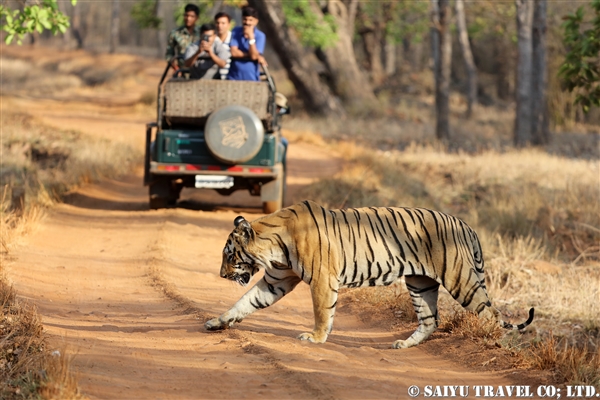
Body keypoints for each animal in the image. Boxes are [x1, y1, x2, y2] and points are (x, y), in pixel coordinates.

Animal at [206, 200, 536, 346]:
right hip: (420, 283)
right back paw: (405, 344)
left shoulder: (322, 280)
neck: (274, 243)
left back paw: (496, 343)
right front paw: (218, 322)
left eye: (229, 255)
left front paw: (315, 337)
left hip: (461, 280)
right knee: (431, 319)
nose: (221, 275)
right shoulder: (277, 280)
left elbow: (322, 312)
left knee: (490, 315)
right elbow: (245, 302)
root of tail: (466, 225)